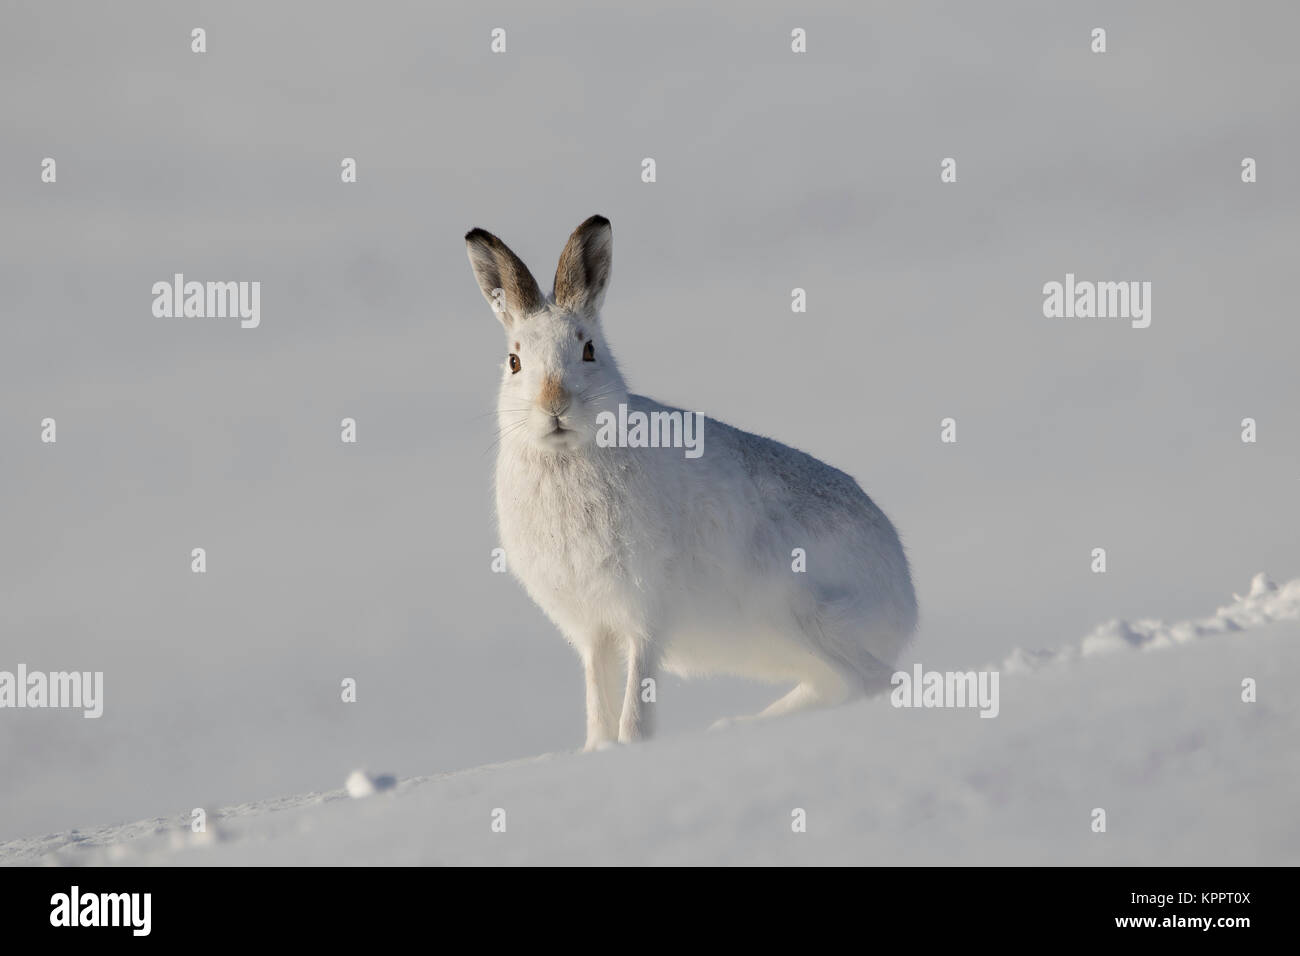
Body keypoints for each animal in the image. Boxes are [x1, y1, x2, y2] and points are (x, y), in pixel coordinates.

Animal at [466, 214, 917, 750]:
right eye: (514, 362)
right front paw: (597, 752)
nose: (554, 405)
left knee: (871, 681)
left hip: (806, 614)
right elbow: (598, 700)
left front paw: (633, 747)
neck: (569, 455)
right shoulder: (594, 628)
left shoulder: (647, 612)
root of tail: (905, 598)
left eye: (589, 349)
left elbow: (635, 707)